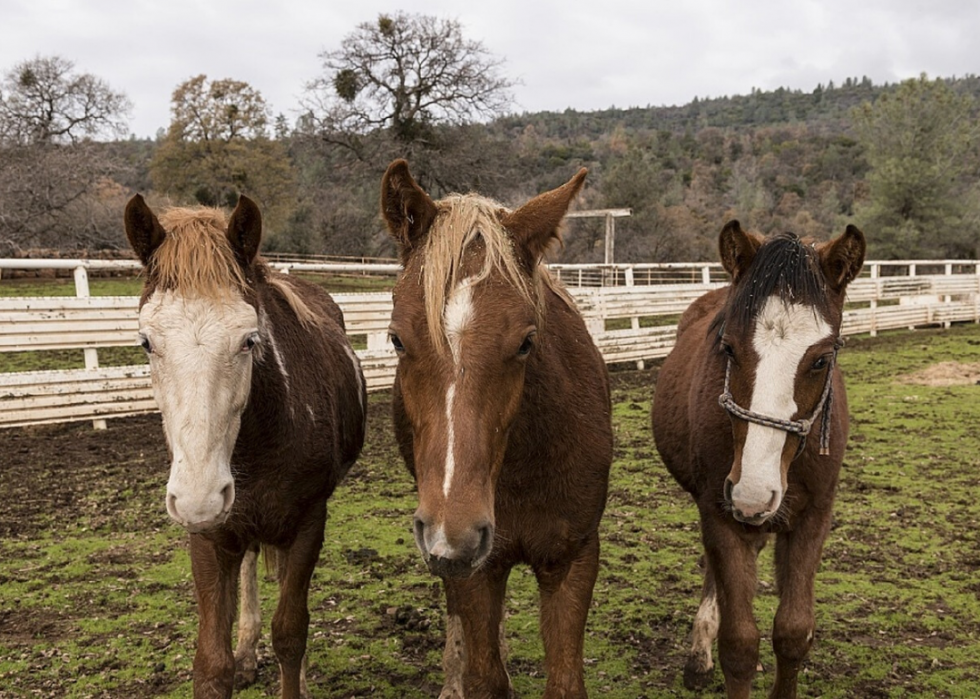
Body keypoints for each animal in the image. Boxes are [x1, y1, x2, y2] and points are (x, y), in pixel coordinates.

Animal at [123, 197, 368, 699]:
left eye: (249, 340)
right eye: (146, 342)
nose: (198, 498)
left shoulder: (308, 524)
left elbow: (291, 633)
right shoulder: (210, 538)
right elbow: (211, 664)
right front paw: (235, 659)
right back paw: (247, 652)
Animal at [380, 161, 612, 696]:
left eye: (526, 341)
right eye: (396, 339)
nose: (457, 533)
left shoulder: (572, 561)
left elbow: (564, 681)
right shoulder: (473, 571)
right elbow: (484, 673)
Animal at [652, 223, 864, 699]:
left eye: (821, 359)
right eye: (728, 349)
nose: (752, 492)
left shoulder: (814, 517)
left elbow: (793, 632)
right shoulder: (720, 512)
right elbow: (740, 645)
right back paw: (699, 653)